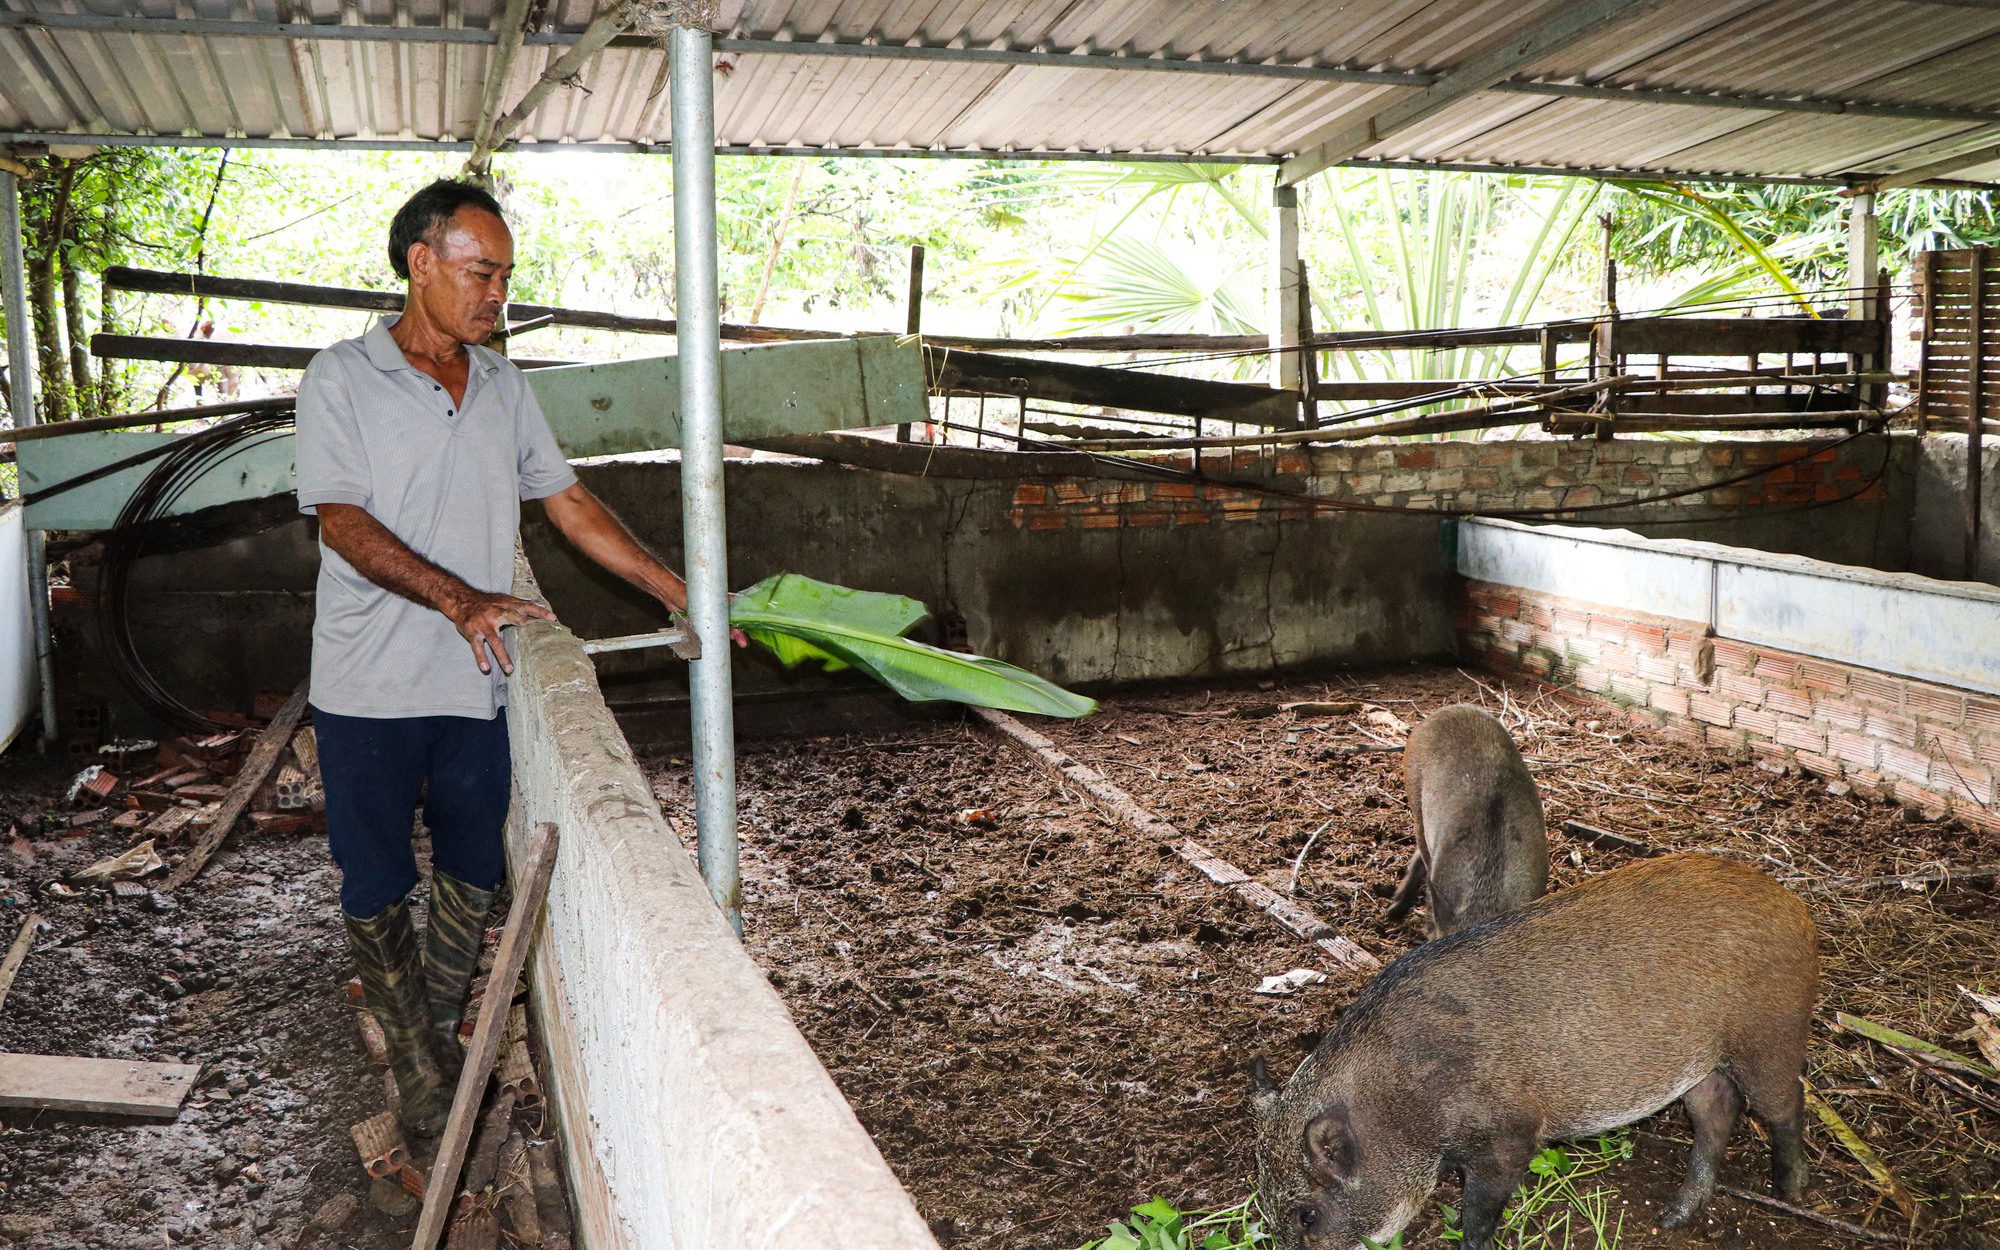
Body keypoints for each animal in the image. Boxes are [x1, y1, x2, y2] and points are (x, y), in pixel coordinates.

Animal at [1256, 852, 1824, 1248]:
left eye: (1307, 1214)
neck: (1404, 1099)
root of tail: (1796, 907)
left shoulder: (1509, 1137)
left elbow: (1481, 1212)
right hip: (1702, 1064)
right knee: (1717, 1112)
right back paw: (1671, 1219)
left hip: (1769, 1036)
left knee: (1785, 1104)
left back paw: (1790, 1191)